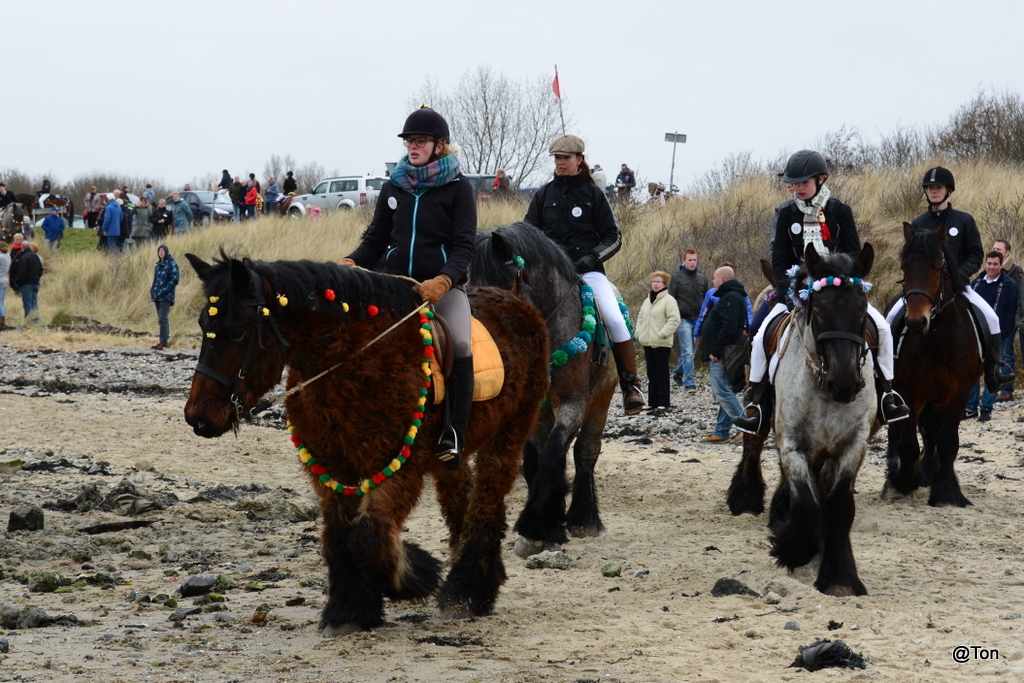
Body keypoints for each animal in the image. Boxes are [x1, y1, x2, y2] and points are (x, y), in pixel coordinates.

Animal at [184, 252, 552, 634]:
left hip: (508, 435)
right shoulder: (334, 466)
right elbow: (339, 536)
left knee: (487, 502)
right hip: (452, 454)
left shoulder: (398, 467)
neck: (354, 358)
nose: (199, 418)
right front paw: (349, 609)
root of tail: (517, 301)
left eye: (237, 331)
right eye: (203, 327)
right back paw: (482, 579)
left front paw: (412, 575)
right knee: (460, 502)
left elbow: (370, 534)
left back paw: (467, 592)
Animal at [884, 224, 978, 507]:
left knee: (932, 432)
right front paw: (903, 483)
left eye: (937, 268)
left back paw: (928, 472)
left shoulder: (959, 393)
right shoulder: (910, 392)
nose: (917, 322)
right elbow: (907, 445)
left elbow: (948, 443)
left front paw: (947, 492)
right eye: (904, 267)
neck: (939, 339)